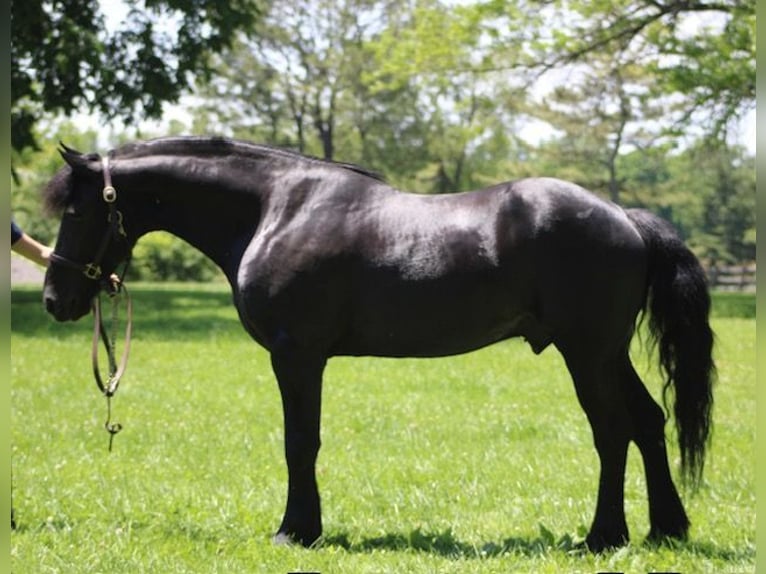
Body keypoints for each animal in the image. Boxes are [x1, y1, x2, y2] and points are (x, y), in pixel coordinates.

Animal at [41, 136, 714, 552]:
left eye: (76, 211)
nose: (55, 300)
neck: (276, 209)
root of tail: (625, 217)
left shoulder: (296, 355)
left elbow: (299, 443)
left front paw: (297, 531)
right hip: (608, 353)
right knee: (648, 422)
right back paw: (665, 529)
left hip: (587, 353)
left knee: (613, 430)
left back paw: (604, 536)